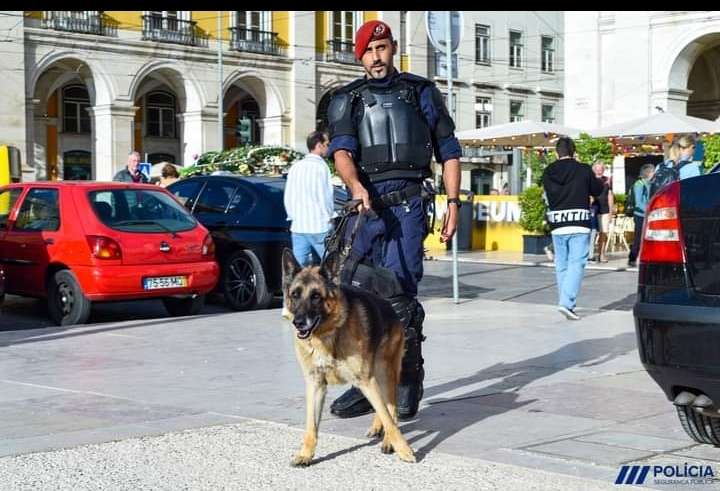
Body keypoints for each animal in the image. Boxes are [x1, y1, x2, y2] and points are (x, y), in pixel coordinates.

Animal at [282, 250, 416, 466]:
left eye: (316, 296)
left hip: (385, 372)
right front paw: (305, 454)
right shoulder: (315, 384)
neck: (327, 335)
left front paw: (403, 449)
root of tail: (388, 305)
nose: (298, 323)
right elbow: (311, 425)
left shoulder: (366, 380)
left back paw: (388, 441)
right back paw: (378, 429)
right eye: (295, 295)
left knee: (391, 407)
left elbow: (388, 417)